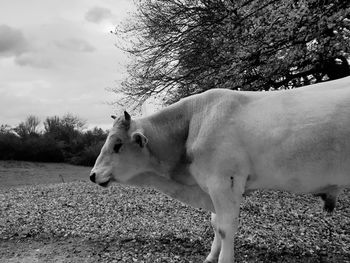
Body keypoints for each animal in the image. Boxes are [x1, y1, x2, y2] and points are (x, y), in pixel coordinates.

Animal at [89, 77, 350, 263]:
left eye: (117, 145)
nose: (92, 175)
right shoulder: (212, 187)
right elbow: (215, 222)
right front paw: (211, 256)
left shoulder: (224, 182)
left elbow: (225, 227)